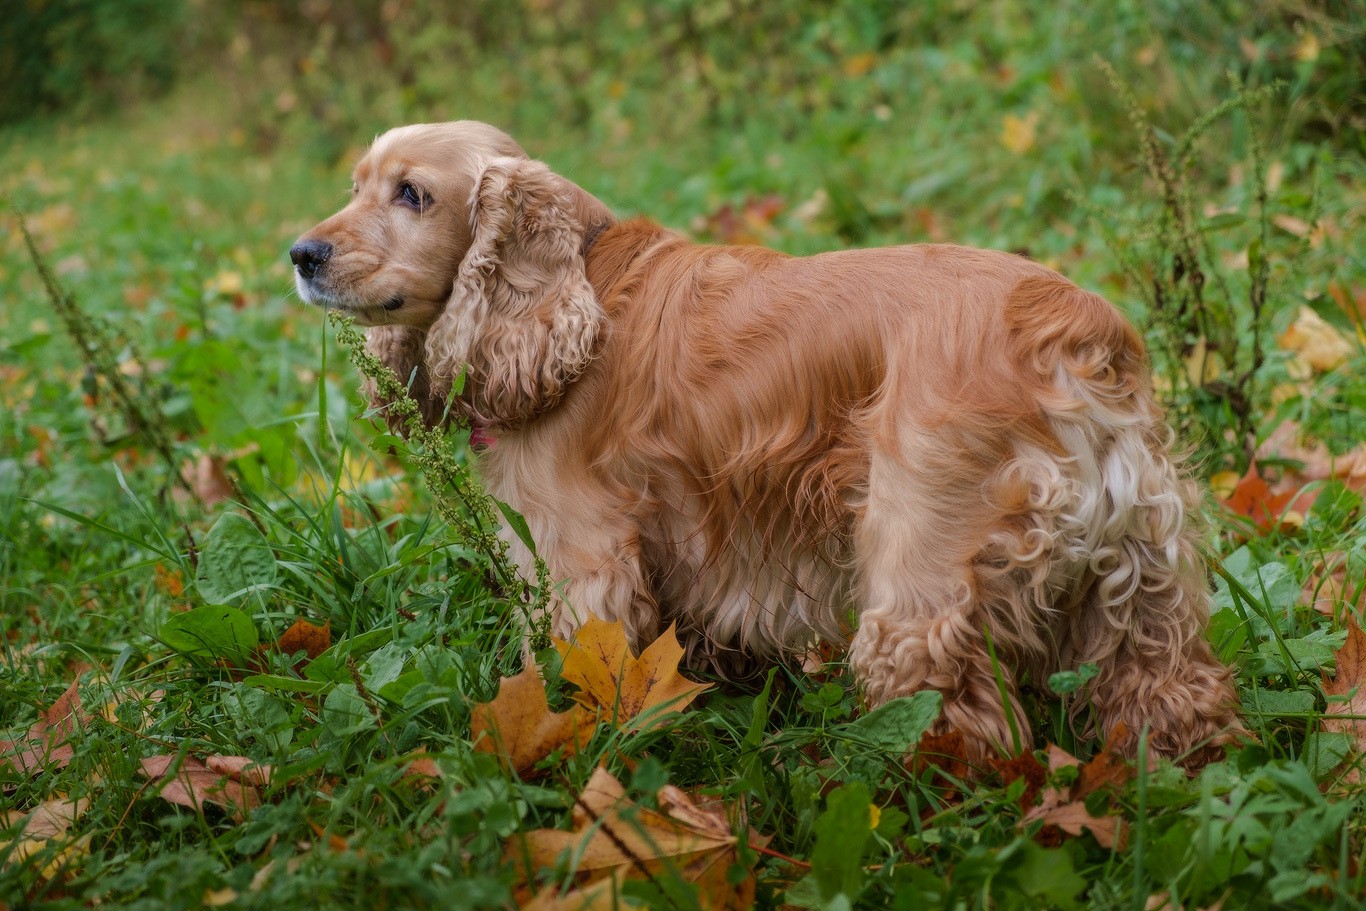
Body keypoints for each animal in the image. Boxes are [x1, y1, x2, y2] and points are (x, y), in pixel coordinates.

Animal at [293, 119, 1245, 764]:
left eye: (411, 195)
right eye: (353, 185)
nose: (302, 252)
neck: (578, 291)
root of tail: (1072, 335)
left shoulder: (579, 555)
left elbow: (578, 662)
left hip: (921, 579)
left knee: (956, 714)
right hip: (1144, 566)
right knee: (1172, 683)